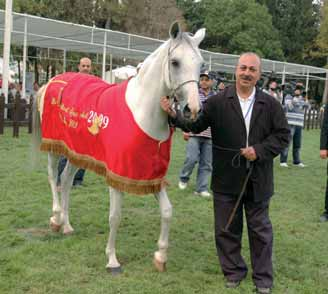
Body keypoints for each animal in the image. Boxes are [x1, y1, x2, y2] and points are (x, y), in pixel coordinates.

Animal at [31, 22, 205, 274]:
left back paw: (67, 225)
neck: (142, 113)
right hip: (55, 148)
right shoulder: (117, 176)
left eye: (201, 63)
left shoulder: (150, 176)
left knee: (65, 180)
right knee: (53, 177)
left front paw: (160, 256)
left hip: (77, 153)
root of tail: (52, 81)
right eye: (175, 62)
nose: (193, 109)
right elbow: (115, 216)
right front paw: (112, 260)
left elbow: (167, 211)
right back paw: (56, 219)